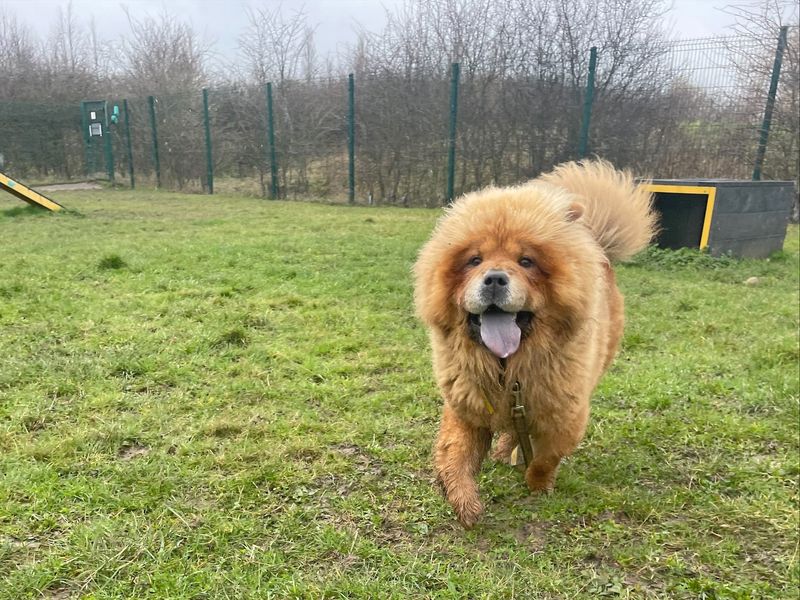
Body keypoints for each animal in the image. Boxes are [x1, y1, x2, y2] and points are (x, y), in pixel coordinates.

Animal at [412, 161, 656, 528]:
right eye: (474, 260)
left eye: (526, 261)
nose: (494, 278)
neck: (505, 367)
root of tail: (595, 245)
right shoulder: (466, 406)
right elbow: (454, 456)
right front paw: (465, 504)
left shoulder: (563, 414)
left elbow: (545, 458)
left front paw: (537, 485)